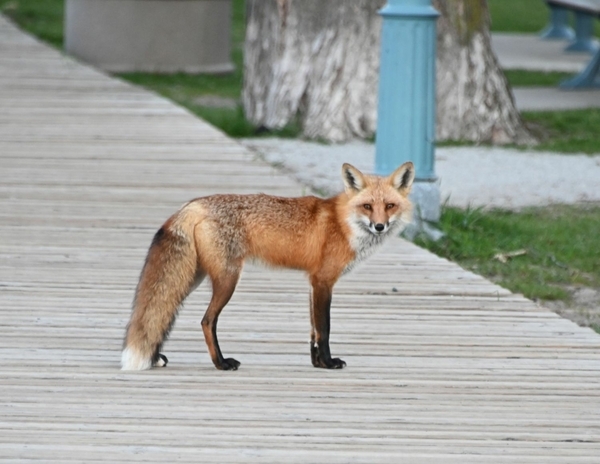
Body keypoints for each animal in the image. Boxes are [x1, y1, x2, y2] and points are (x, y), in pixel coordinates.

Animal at [120, 161, 414, 372]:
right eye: (367, 206)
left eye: (390, 206)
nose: (379, 226)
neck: (343, 223)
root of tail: (193, 204)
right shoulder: (324, 281)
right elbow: (325, 329)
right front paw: (329, 363)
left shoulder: (312, 282)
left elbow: (312, 331)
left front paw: (317, 363)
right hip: (227, 279)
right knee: (206, 321)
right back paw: (221, 363)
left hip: (191, 277)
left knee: (162, 309)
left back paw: (156, 357)